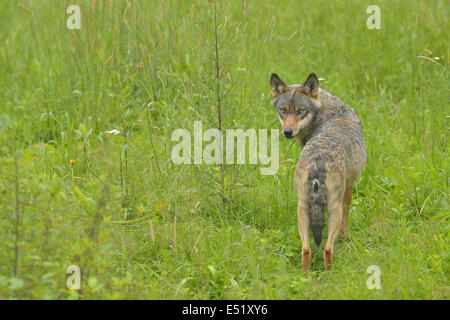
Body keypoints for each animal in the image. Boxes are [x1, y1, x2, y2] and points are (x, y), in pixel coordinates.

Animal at [268, 72, 368, 270]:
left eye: (300, 111)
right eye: (284, 110)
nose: (287, 132)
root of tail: (317, 163)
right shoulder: (349, 189)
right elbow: (346, 218)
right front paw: (345, 239)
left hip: (302, 208)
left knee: (305, 248)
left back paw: (306, 275)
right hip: (332, 208)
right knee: (328, 248)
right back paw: (330, 273)